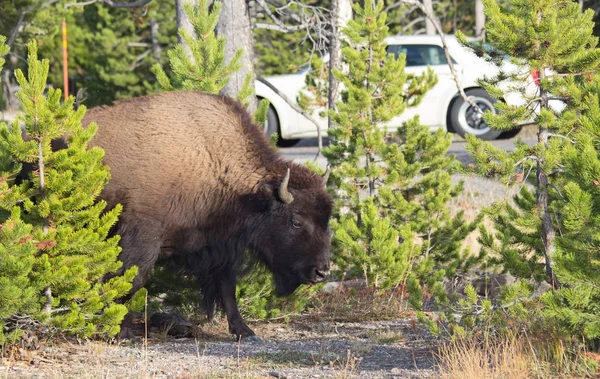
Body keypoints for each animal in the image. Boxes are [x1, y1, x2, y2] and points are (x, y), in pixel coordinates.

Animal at [74, 93, 332, 342]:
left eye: (327, 221)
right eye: (296, 221)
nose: (322, 272)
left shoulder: (218, 246)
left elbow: (227, 287)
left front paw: (245, 332)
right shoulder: (142, 238)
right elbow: (131, 280)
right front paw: (122, 333)